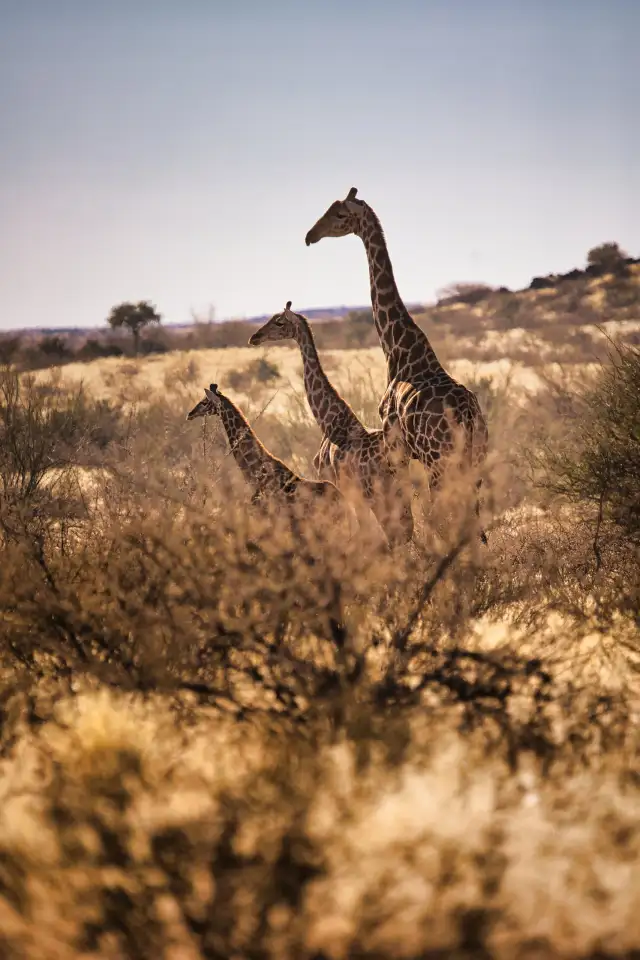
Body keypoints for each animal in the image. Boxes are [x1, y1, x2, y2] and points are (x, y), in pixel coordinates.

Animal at [248, 301, 414, 546]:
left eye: (279, 322)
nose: (254, 337)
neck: (331, 424)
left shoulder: (338, 486)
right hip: (399, 488)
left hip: (377, 493)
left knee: (396, 533)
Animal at [305, 187, 489, 542]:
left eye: (339, 215)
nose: (310, 236)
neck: (399, 350)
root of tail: (468, 417)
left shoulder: (396, 446)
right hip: (474, 458)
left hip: (440, 460)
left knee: (448, 512)